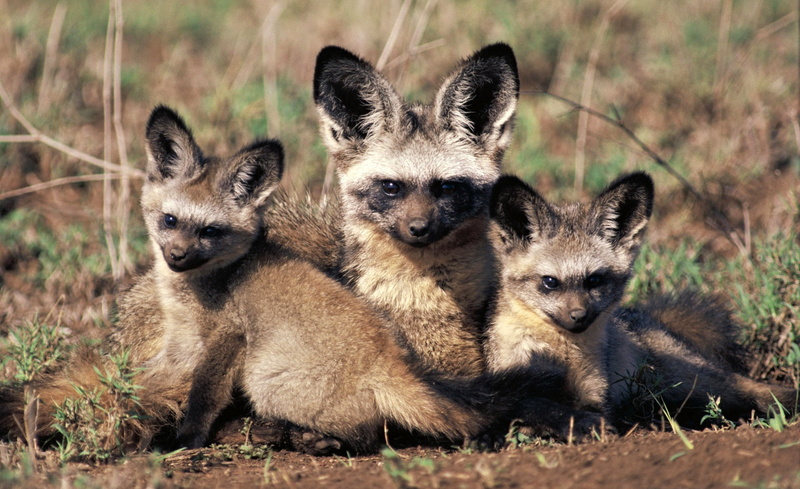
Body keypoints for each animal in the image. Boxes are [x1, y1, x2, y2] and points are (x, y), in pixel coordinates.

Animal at [485, 172, 798, 428]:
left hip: (692, 381)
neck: (562, 354)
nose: (579, 316)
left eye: (594, 280)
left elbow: (576, 408)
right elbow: (532, 405)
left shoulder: (595, 394)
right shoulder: (511, 382)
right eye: (550, 282)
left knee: (747, 387)